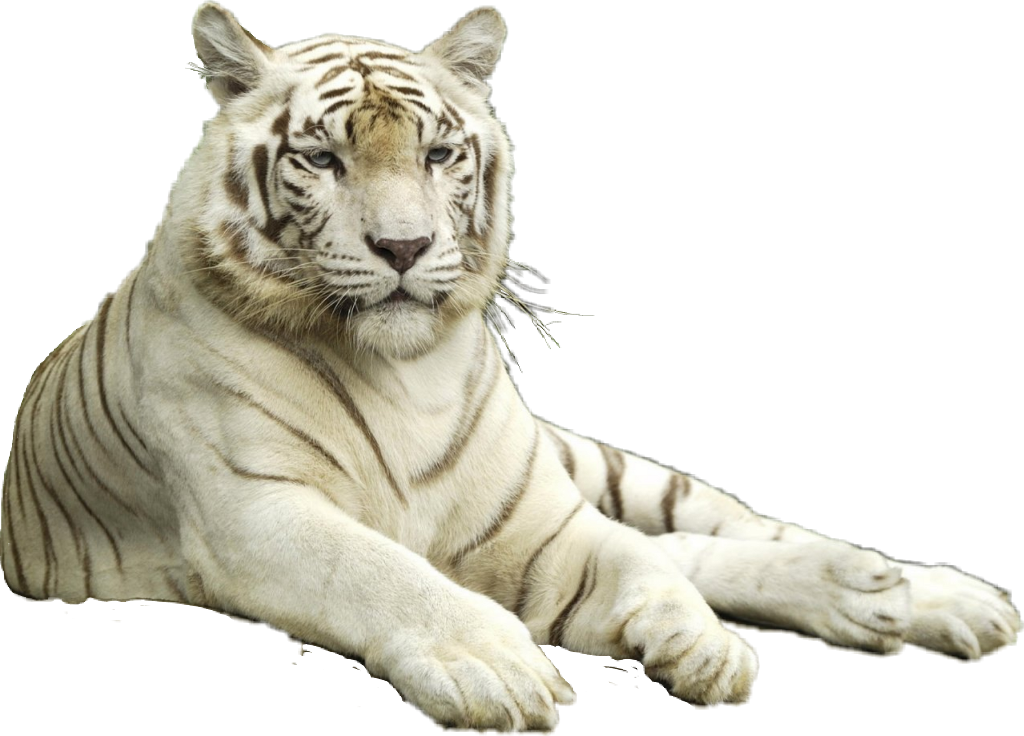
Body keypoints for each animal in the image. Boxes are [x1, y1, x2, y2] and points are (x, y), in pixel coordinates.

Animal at [1, 3, 1019, 732]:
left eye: (439, 153)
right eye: (322, 159)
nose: (404, 246)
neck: (403, 374)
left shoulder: (537, 522)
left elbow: (637, 562)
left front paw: (703, 648)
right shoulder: (255, 512)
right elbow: (379, 570)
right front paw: (496, 667)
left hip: (596, 467)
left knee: (711, 531)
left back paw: (916, 594)